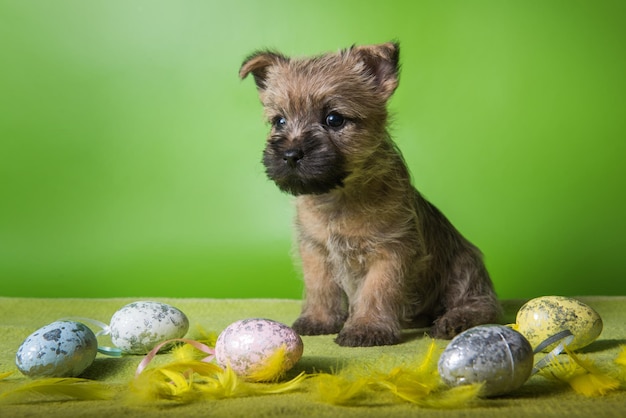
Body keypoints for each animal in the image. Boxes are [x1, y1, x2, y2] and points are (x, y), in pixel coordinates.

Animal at [236, 41, 500, 346]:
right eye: (279, 121)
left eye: (334, 119)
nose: (290, 154)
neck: (338, 197)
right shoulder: (315, 250)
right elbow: (320, 287)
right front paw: (319, 320)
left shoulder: (389, 251)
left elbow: (377, 290)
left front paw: (367, 327)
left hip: (463, 269)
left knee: (484, 306)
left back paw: (454, 321)